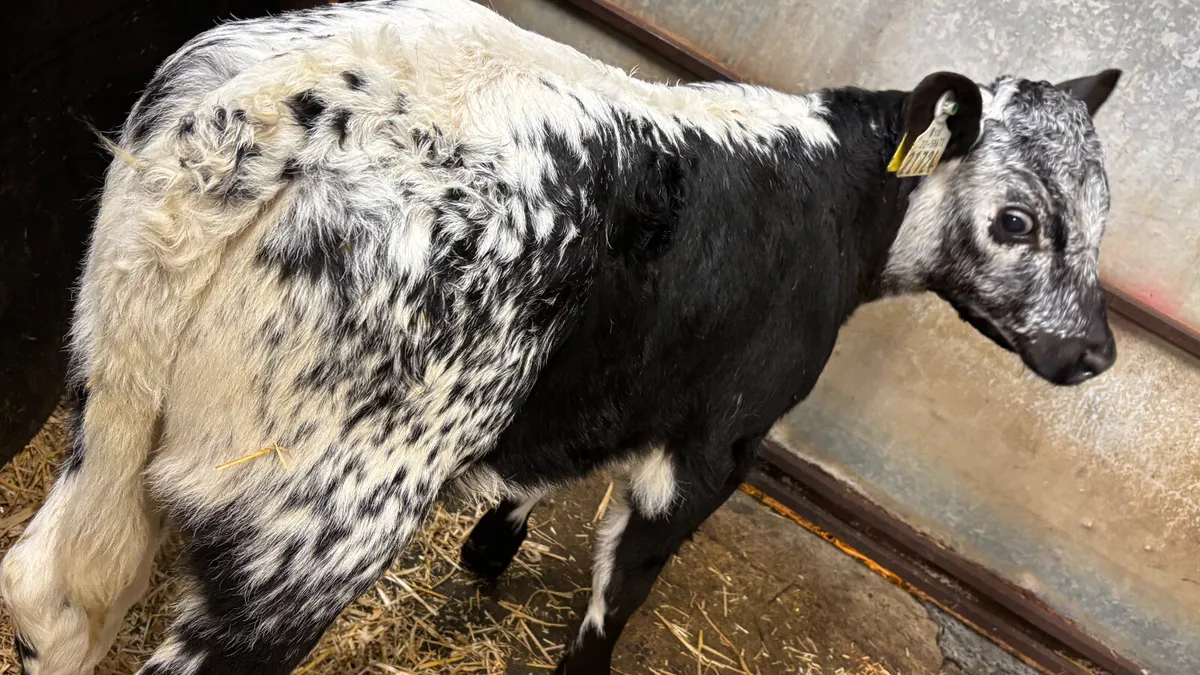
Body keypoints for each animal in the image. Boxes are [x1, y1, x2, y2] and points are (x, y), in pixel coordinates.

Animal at [0, 0, 1120, 673]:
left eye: (1102, 212)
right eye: (1016, 221)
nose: (1097, 354)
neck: (836, 196)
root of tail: (276, 113)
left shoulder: (611, 386)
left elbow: (541, 476)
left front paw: (492, 547)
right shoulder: (712, 444)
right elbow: (620, 586)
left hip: (112, 394)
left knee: (54, 591)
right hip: (325, 506)